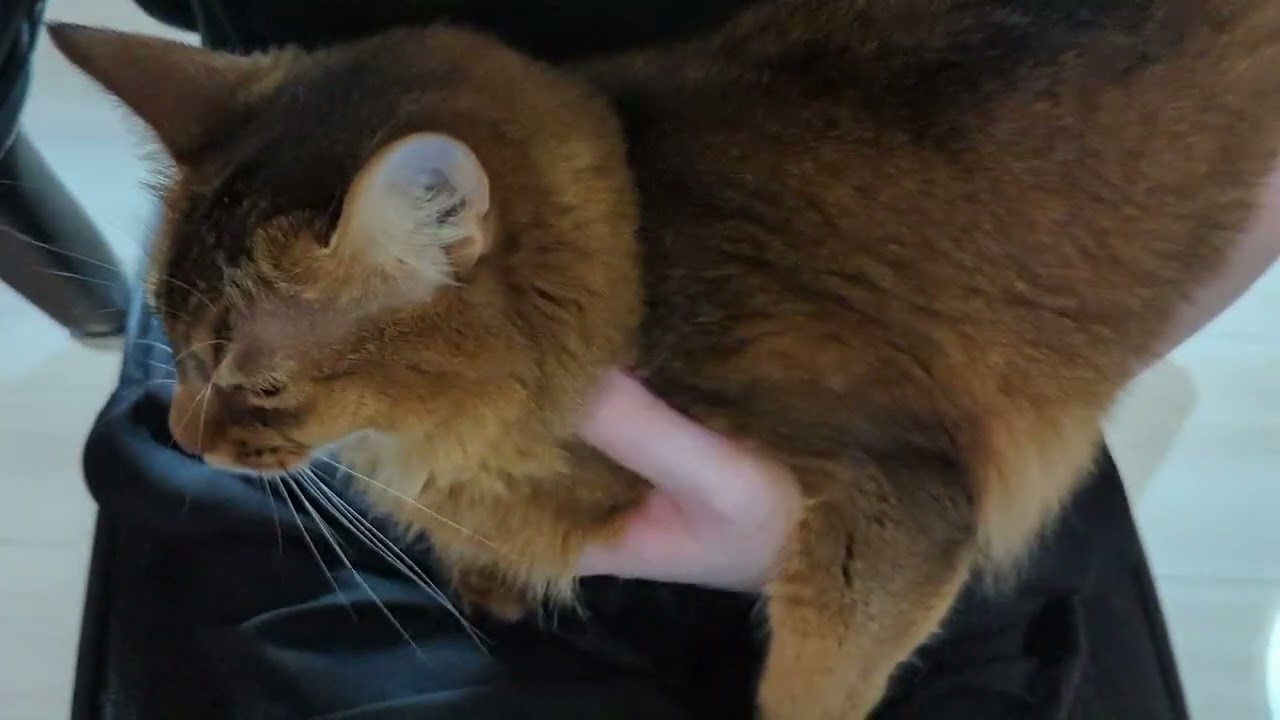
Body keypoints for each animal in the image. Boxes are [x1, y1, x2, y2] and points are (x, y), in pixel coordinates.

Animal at [51, 1, 1280, 717]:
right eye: (175, 350)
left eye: (258, 384)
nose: (184, 437)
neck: (640, 265)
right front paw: (495, 581)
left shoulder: (907, 505)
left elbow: (814, 684)